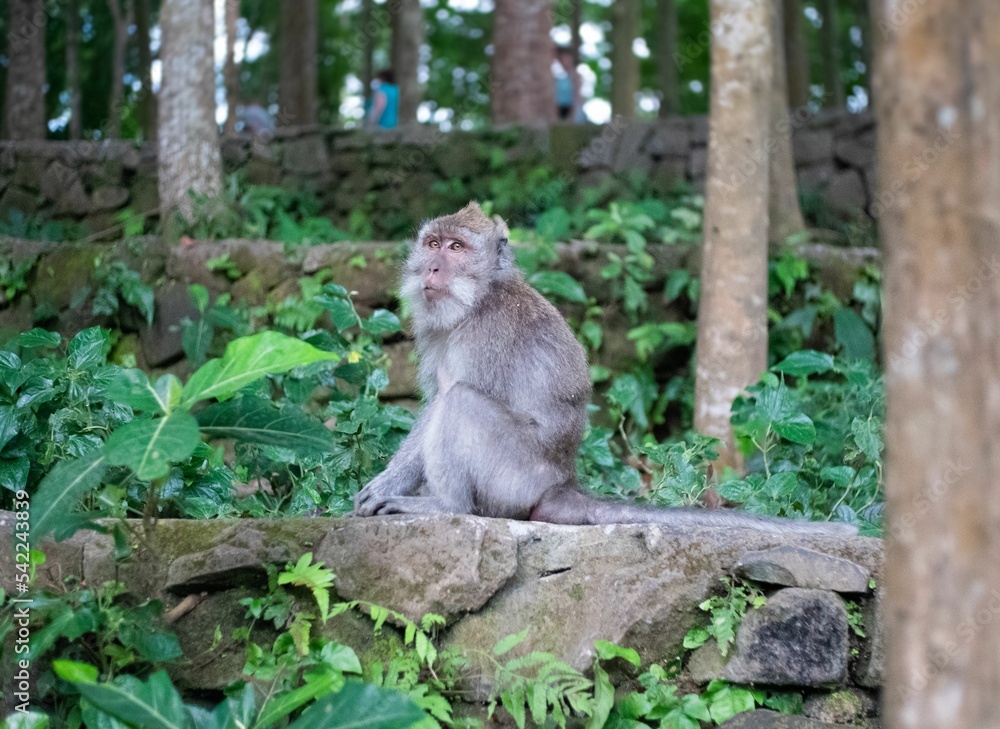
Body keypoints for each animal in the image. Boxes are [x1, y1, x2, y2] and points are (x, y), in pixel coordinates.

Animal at [356, 199, 856, 536]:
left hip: (514, 480)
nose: (432, 269)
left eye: (457, 247)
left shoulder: (487, 338)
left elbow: (450, 397)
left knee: (461, 402)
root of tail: (562, 483)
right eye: (433, 244)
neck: (479, 298)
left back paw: (447, 507)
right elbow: (430, 409)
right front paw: (384, 484)